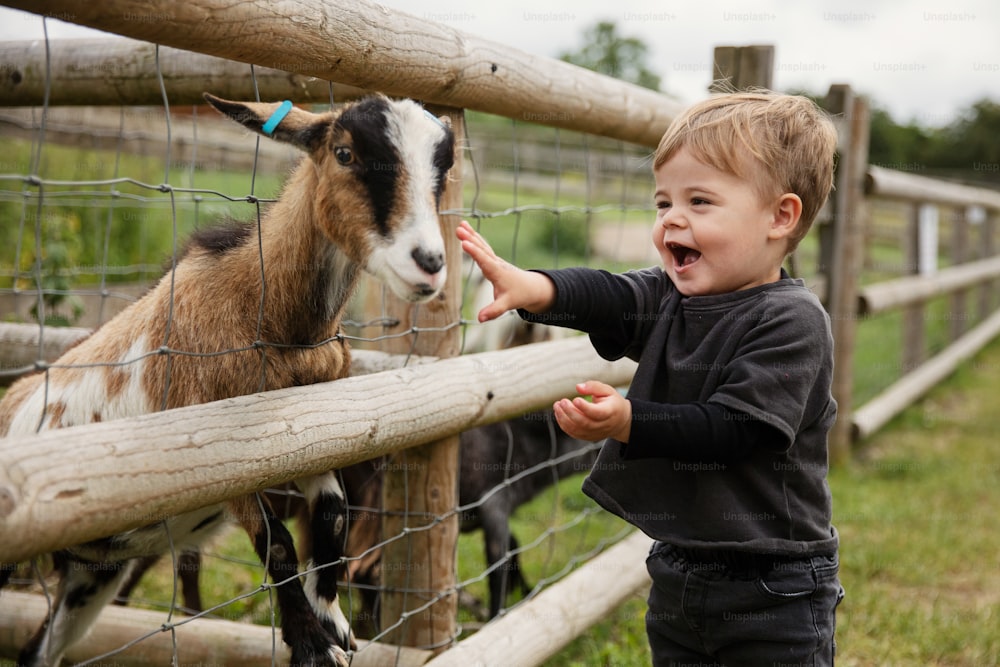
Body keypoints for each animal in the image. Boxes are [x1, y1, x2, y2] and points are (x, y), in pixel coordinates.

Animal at [0, 95, 458, 667]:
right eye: (345, 153)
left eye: (445, 166)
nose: (430, 263)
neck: (265, 313)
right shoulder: (227, 455)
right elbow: (277, 541)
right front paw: (312, 645)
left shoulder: (314, 435)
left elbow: (332, 514)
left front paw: (333, 622)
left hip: (94, 569)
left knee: (40, 650)